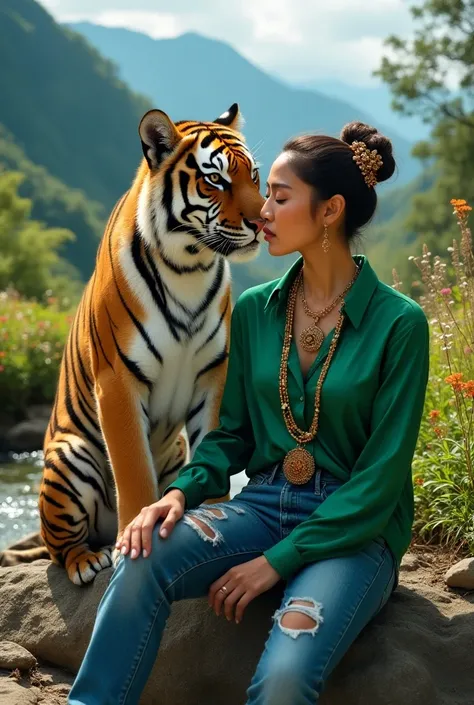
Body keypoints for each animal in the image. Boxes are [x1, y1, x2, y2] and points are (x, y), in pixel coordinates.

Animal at [2, 103, 262, 584]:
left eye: (253, 175)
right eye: (216, 180)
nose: (262, 220)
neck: (190, 266)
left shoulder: (214, 376)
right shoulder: (118, 380)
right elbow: (133, 471)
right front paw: (133, 542)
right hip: (71, 458)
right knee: (58, 547)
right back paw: (90, 560)